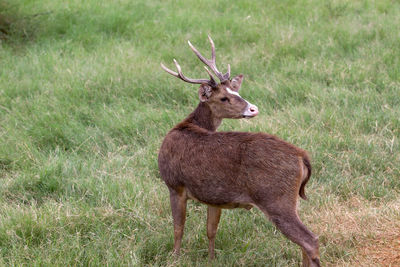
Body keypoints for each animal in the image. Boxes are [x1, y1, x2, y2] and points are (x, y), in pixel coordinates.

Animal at [158, 36, 320, 267]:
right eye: (224, 98)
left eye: (236, 92)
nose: (253, 108)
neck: (187, 125)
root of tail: (302, 157)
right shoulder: (213, 196)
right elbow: (211, 230)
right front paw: (211, 259)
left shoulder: (174, 184)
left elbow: (178, 229)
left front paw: (175, 258)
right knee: (304, 244)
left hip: (276, 198)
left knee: (310, 240)